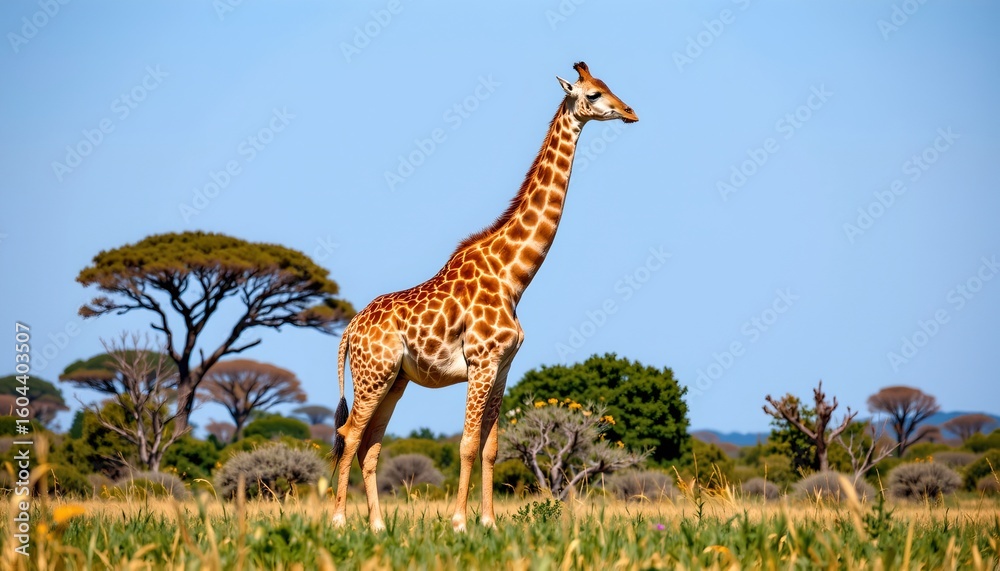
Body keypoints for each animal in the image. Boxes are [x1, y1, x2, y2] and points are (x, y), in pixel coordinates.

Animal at [331, 62, 637, 532]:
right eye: (593, 94)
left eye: (609, 87)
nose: (630, 112)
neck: (513, 277)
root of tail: (350, 327)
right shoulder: (480, 362)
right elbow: (467, 443)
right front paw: (459, 522)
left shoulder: (504, 366)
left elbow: (491, 448)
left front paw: (490, 522)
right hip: (372, 376)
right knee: (349, 436)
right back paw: (338, 522)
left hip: (394, 381)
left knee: (369, 445)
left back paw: (378, 526)